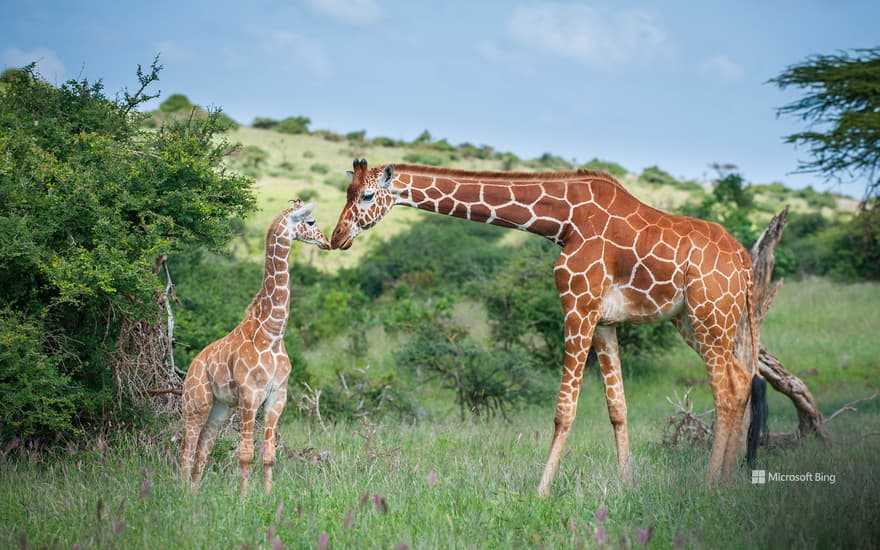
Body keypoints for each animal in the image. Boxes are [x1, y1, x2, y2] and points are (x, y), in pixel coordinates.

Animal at [179, 201, 330, 498]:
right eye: (310, 221)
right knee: (186, 450)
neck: (272, 333)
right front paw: (243, 498)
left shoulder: (277, 395)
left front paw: (268, 496)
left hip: (220, 408)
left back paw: (194, 495)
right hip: (196, 403)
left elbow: (269, 454)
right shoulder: (249, 395)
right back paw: (178, 493)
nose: (326, 242)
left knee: (202, 450)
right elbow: (246, 453)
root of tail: (193, 364)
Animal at [334, 161, 768, 500]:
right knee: (741, 380)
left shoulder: (577, 305)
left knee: (726, 390)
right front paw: (627, 486)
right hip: (698, 321)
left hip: (709, 315)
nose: (337, 237)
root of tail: (745, 264)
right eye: (348, 192)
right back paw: (727, 482)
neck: (563, 220)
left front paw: (541, 491)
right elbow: (617, 408)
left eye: (367, 196)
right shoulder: (605, 321)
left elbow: (564, 410)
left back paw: (711, 484)